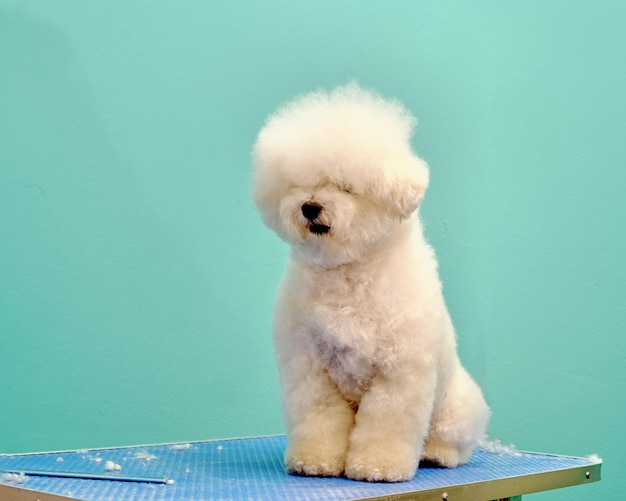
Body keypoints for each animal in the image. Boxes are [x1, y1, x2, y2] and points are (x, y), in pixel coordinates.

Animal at [251, 84, 490, 482]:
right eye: (299, 185)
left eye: (346, 188)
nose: (309, 206)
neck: (349, 273)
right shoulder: (310, 369)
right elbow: (318, 418)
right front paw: (315, 460)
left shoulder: (397, 374)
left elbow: (386, 426)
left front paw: (378, 466)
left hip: (455, 407)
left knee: (454, 441)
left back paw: (437, 454)